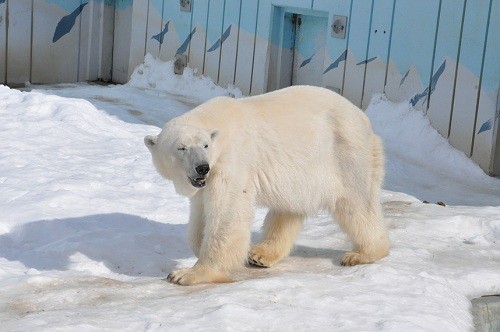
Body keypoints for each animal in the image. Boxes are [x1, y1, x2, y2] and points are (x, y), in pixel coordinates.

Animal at [145, 85, 390, 286]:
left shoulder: (232, 162)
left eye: (205, 145)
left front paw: (187, 274)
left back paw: (363, 253)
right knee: (289, 208)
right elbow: (200, 214)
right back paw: (260, 254)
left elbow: (228, 213)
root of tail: (364, 119)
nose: (202, 167)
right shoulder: (204, 181)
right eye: (181, 148)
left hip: (346, 153)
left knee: (355, 202)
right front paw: (200, 247)